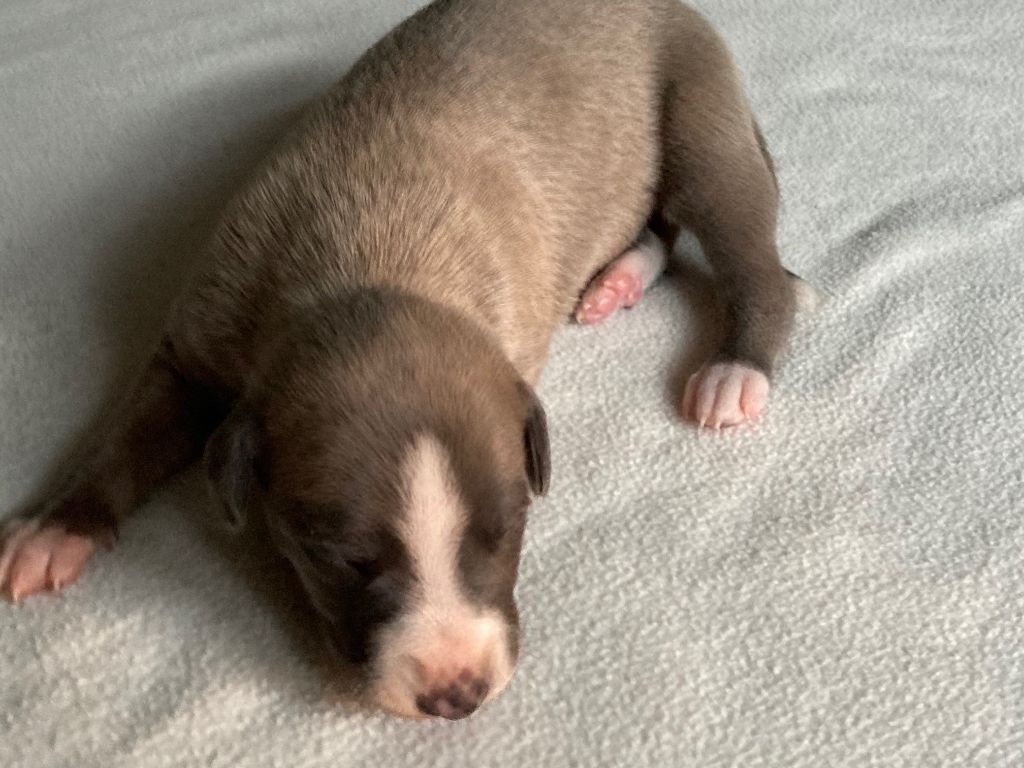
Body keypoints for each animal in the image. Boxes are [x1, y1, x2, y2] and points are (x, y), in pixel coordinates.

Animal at [0, 0, 803, 720]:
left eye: (506, 531)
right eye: (341, 561)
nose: (458, 697)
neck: (373, 261)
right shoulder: (198, 337)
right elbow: (127, 430)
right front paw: (55, 527)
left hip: (698, 113)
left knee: (754, 261)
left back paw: (733, 373)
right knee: (660, 228)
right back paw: (617, 281)